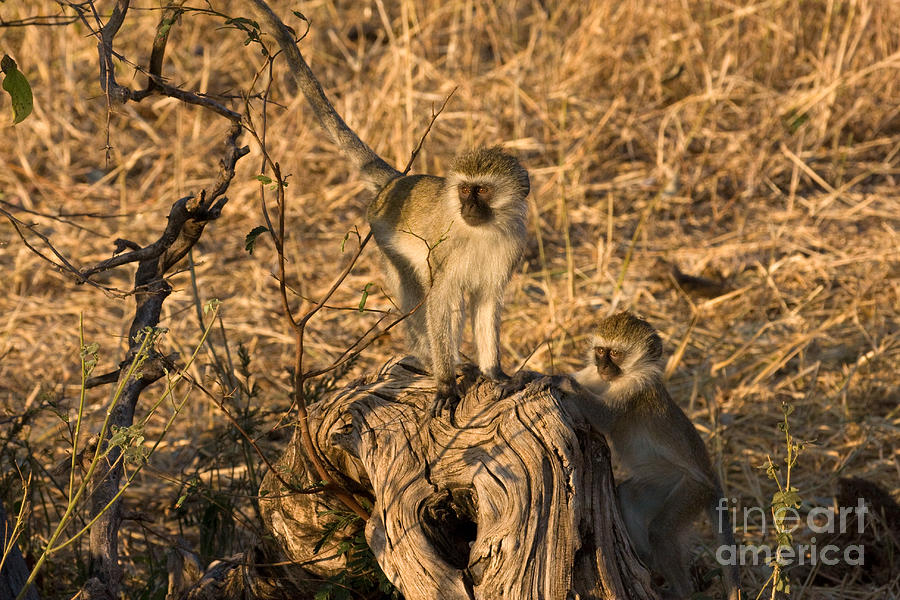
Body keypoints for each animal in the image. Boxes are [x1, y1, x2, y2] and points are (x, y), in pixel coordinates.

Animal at [246, 2, 528, 412]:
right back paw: (435, 362)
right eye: (464, 191)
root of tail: (397, 183)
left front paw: (495, 374)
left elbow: (487, 304)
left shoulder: (509, 248)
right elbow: (439, 302)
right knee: (419, 293)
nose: (469, 207)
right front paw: (447, 383)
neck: (482, 231)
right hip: (385, 240)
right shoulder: (445, 253)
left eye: (481, 191)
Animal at [572, 312, 740, 600]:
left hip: (693, 490)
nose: (603, 366)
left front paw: (554, 380)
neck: (619, 378)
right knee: (629, 497)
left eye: (616, 354)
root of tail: (711, 476)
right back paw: (648, 565)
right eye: (600, 351)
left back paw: (680, 591)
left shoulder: (635, 387)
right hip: (661, 483)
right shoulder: (593, 374)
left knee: (661, 531)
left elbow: (604, 417)